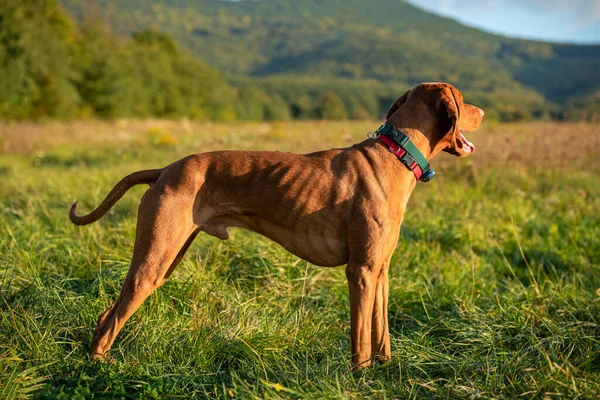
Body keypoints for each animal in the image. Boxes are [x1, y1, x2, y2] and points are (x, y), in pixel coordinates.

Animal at [70, 83, 482, 368]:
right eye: (463, 99)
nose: (484, 110)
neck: (395, 155)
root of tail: (164, 170)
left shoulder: (380, 270)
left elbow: (381, 333)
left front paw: (385, 369)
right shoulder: (360, 272)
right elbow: (361, 338)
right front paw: (360, 376)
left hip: (166, 258)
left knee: (108, 313)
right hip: (154, 261)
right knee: (112, 317)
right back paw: (100, 368)